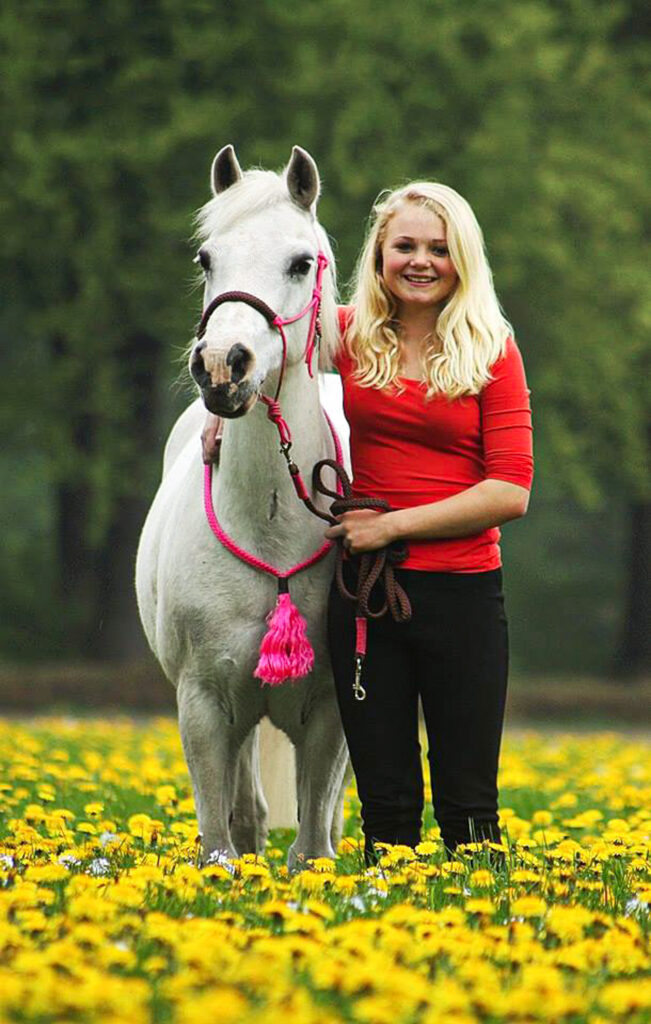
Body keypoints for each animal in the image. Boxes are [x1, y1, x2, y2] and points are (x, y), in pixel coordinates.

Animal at [135, 144, 350, 864]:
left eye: (300, 262)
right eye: (207, 258)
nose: (222, 366)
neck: (270, 525)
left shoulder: (330, 708)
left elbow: (312, 843)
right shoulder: (204, 703)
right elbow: (220, 841)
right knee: (247, 809)